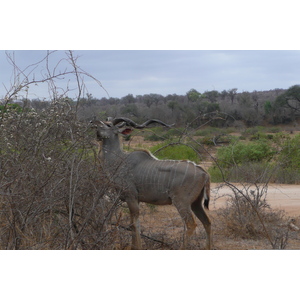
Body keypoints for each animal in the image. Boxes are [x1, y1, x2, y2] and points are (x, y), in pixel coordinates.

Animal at [90, 117, 212, 251]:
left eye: (108, 125)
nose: (93, 123)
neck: (119, 160)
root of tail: (204, 173)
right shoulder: (135, 199)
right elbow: (135, 224)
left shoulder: (130, 196)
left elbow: (134, 224)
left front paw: (137, 247)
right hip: (196, 204)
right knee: (207, 222)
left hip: (182, 202)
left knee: (191, 224)